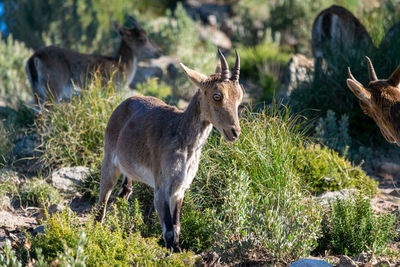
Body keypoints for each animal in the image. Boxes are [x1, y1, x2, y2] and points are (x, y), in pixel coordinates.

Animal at [25, 16, 161, 110]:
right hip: (53, 88)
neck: (120, 66)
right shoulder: (107, 89)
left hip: (36, 90)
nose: (159, 51)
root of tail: (34, 58)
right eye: (143, 39)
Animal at [96, 50, 244, 253]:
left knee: (124, 193)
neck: (183, 139)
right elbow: (168, 230)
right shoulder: (162, 187)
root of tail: (123, 103)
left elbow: (177, 227)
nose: (234, 132)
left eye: (239, 97)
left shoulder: (180, 189)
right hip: (109, 161)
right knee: (102, 202)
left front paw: (178, 250)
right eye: (217, 96)